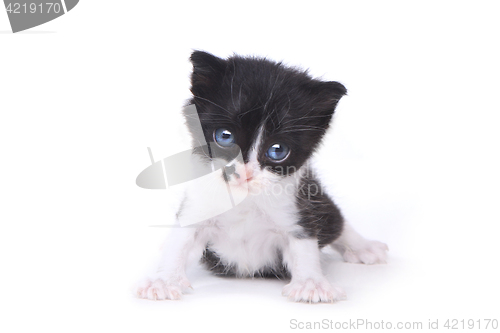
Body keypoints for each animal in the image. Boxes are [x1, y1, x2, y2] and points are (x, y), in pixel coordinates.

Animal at [138, 50, 390, 302]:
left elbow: (304, 244)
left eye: (277, 150)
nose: (245, 173)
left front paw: (311, 283)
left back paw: (363, 246)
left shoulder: (295, 209)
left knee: (335, 219)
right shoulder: (198, 207)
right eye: (224, 136)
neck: (245, 200)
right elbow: (179, 244)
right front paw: (163, 280)